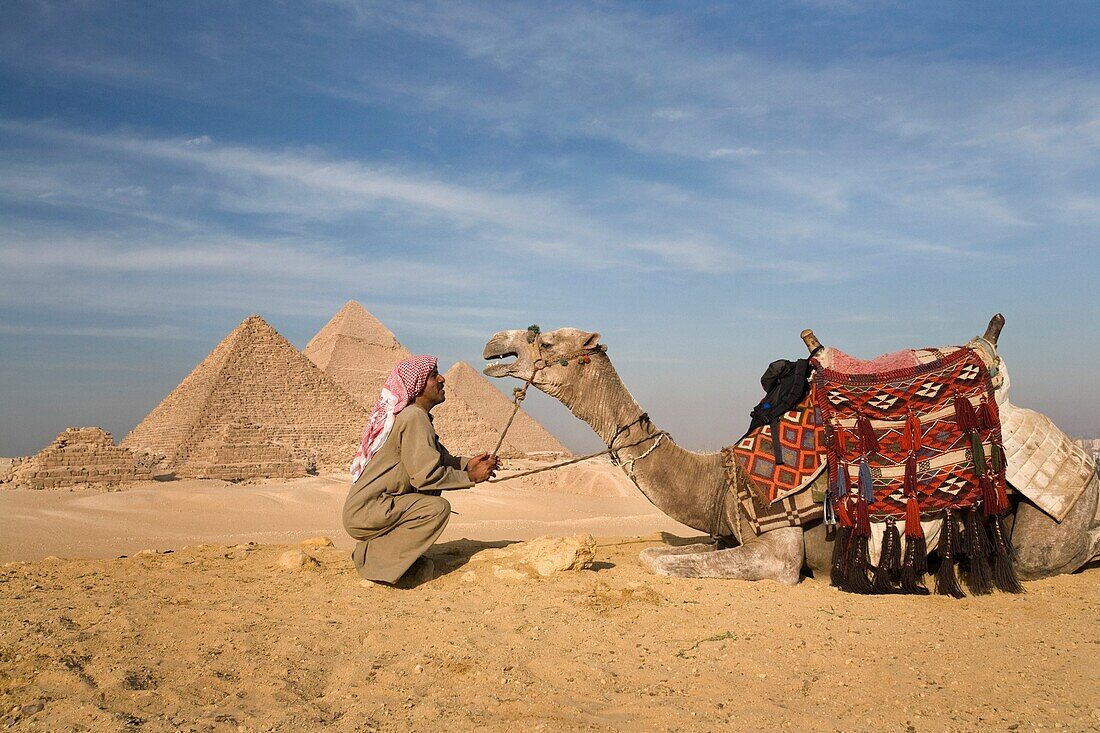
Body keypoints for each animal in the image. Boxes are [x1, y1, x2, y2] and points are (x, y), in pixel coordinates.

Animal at [484, 319, 1100, 589]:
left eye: (546, 340)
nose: (495, 344)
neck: (718, 477)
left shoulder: (777, 549)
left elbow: (656, 560)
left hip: (1048, 526)